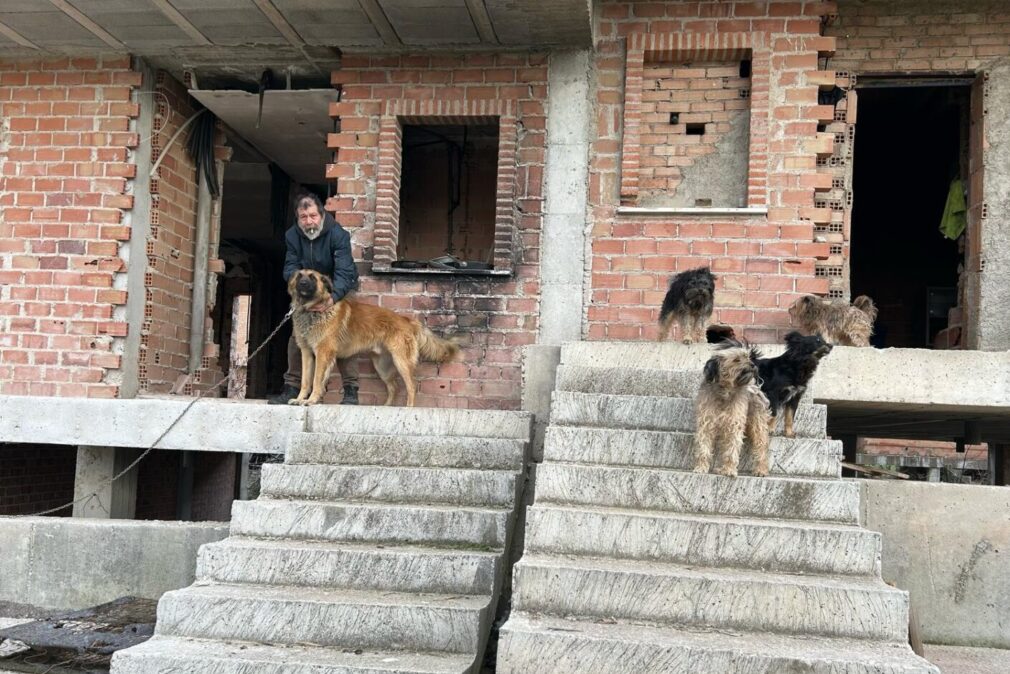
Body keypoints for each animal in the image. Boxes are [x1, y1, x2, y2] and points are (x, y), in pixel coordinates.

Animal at [288, 268, 462, 406]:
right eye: (299, 276)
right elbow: (305, 380)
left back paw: (408, 408)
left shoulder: (323, 353)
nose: (302, 284)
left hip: (401, 361)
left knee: (411, 386)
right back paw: (387, 407)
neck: (311, 310)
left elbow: (316, 380)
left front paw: (311, 400)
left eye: (312, 277)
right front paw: (300, 399)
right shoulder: (306, 353)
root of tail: (407, 320)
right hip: (382, 366)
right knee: (394, 387)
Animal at [694, 343, 771, 478]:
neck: (725, 391)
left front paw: (729, 470)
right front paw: (701, 467)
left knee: (762, 446)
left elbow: (732, 449)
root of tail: (754, 387)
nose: (752, 364)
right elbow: (703, 447)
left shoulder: (734, 424)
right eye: (736, 360)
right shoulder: (706, 423)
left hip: (758, 424)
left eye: (747, 357)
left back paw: (761, 469)